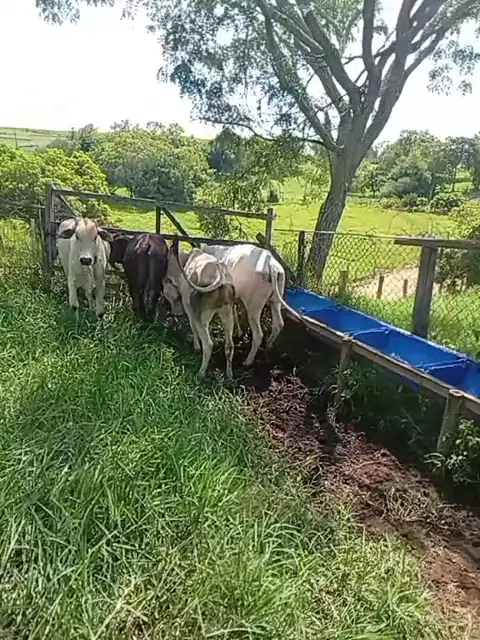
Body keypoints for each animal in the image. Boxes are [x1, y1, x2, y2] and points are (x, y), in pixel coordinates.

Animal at [163, 239, 236, 379]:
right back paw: (229, 375)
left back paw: (201, 373)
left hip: (201, 317)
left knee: (208, 344)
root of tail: (220, 277)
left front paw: (196, 347)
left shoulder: (188, 307)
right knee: (230, 345)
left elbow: (192, 327)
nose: (175, 314)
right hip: (227, 313)